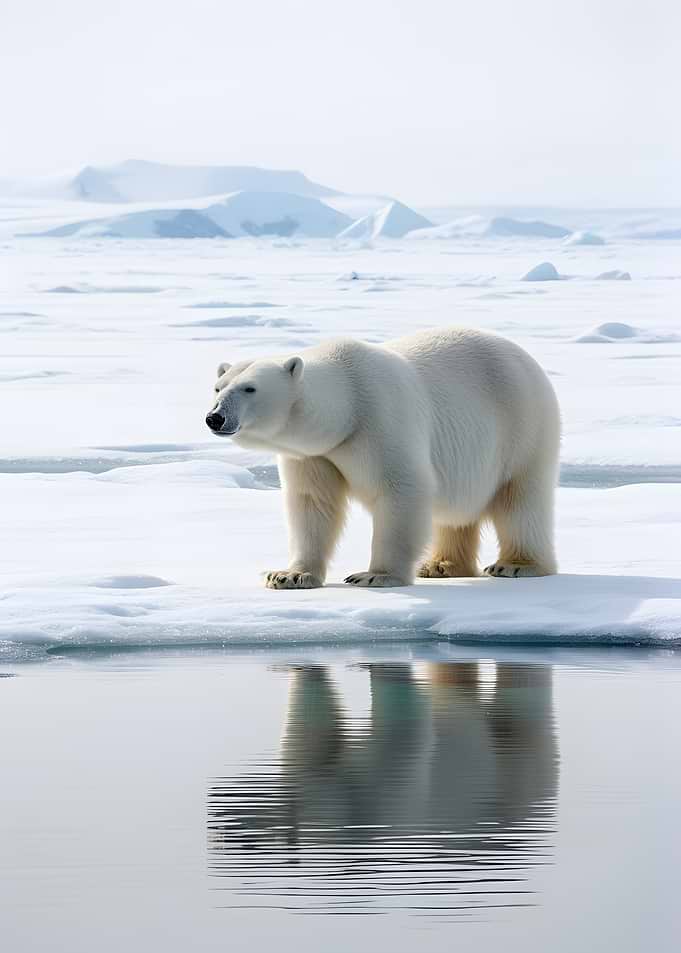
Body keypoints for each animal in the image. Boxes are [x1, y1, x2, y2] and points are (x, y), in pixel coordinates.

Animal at [205, 327, 560, 589]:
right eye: (218, 387)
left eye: (250, 388)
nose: (215, 418)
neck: (347, 405)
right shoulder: (314, 454)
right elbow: (312, 504)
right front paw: (288, 575)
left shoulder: (382, 419)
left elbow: (401, 490)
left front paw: (375, 575)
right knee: (454, 516)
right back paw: (440, 565)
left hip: (523, 427)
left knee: (521, 500)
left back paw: (514, 565)